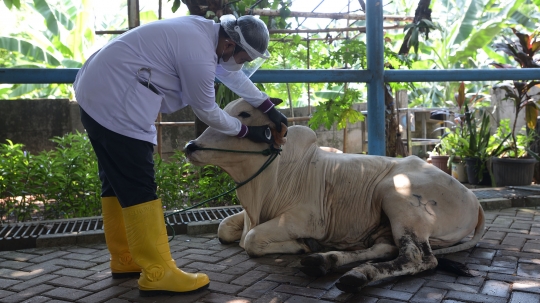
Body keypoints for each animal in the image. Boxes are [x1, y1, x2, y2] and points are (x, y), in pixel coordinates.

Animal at [182, 98, 486, 294]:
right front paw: (309, 248)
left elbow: (251, 239)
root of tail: (473, 200)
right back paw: (324, 261)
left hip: (397, 197)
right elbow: (224, 229)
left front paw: (301, 244)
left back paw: (357, 274)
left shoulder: (308, 219)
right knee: (386, 248)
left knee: (418, 258)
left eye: (245, 114)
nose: (190, 146)